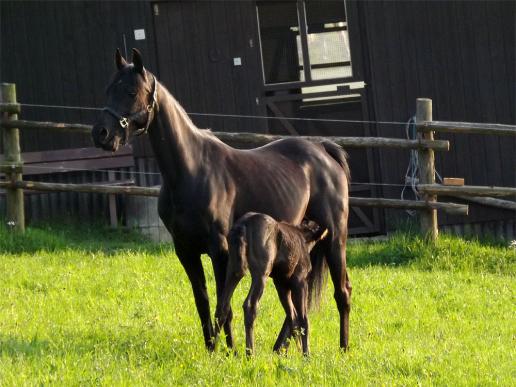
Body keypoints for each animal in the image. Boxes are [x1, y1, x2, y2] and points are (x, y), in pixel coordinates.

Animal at [214, 214, 326, 356]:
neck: (305, 240)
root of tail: (242, 226)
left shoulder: (281, 284)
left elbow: (292, 317)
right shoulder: (299, 281)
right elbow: (303, 319)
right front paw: (306, 355)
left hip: (234, 269)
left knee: (222, 305)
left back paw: (212, 349)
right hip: (262, 272)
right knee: (250, 305)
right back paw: (250, 353)